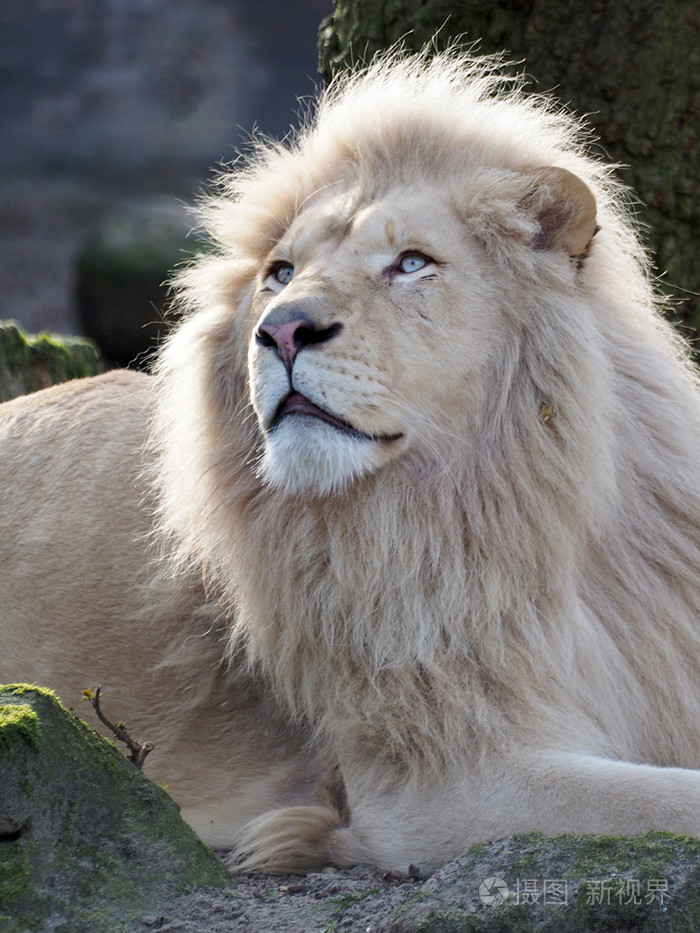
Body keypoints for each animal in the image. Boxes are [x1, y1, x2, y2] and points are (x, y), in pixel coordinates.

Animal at [1, 52, 700, 872]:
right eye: (280, 272)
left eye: (411, 263)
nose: (283, 330)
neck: (533, 507)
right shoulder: (439, 780)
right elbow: (670, 797)